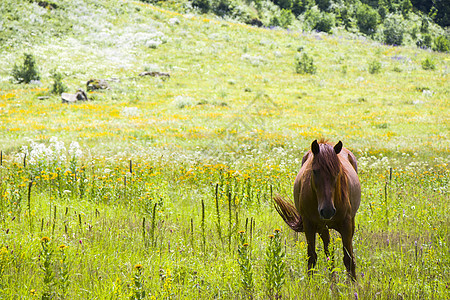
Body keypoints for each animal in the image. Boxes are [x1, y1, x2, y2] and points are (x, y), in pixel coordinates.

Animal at [272, 139, 360, 280]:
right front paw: (310, 283)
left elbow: (348, 258)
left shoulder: (346, 225)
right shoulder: (310, 225)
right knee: (329, 252)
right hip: (322, 227)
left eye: (337, 172)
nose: (327, 211)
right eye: (314, 171)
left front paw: (353, 283)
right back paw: (332, 280)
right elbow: (312, 257)